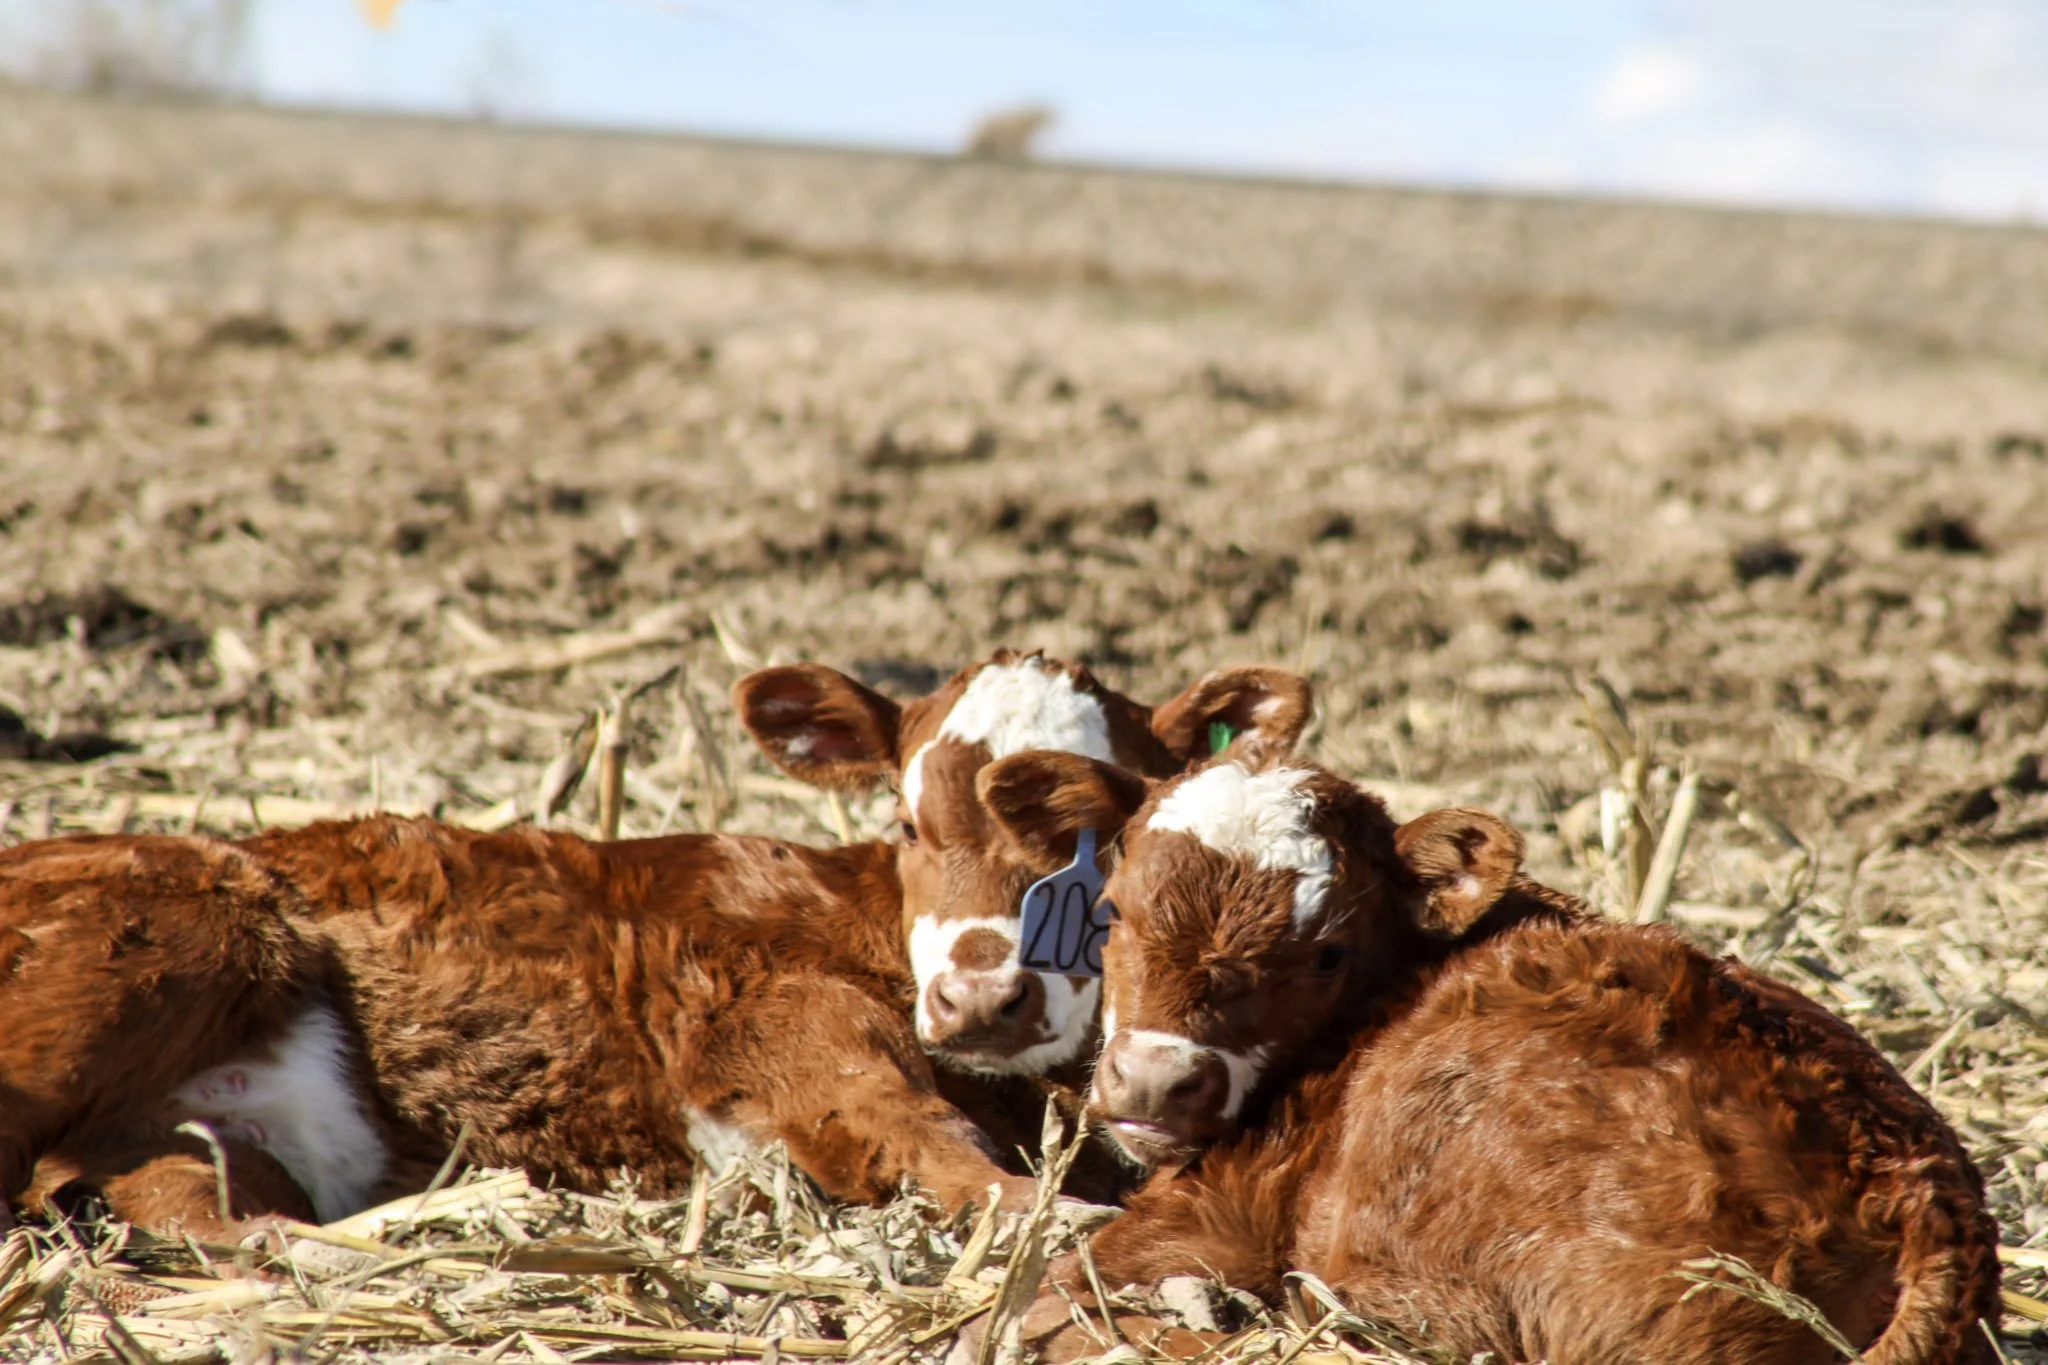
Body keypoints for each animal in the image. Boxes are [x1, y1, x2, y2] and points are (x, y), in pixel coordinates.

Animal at [0, 652, 1307, 1244]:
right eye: (903, 820)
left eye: (1103, 844)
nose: (984, 997)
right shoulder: (775, 1031)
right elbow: (940, 1154)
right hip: (195, 921)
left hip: (192, 1133)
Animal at [970, 751, 2001, 1365]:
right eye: (1115, 911)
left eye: (1328, 952)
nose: (1155, 1078)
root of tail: (1912, 1182)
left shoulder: (1214, 1216)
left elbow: (1047, 1294)